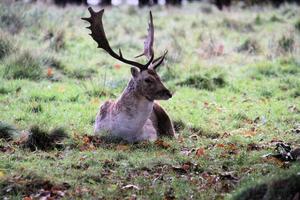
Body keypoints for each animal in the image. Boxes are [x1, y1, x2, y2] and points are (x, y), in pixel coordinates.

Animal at [82, 7, 176, 142]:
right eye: (148, 79)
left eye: (159, 77)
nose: (168, 93)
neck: (127, 132)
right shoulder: (97, 130)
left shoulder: (152, 132)